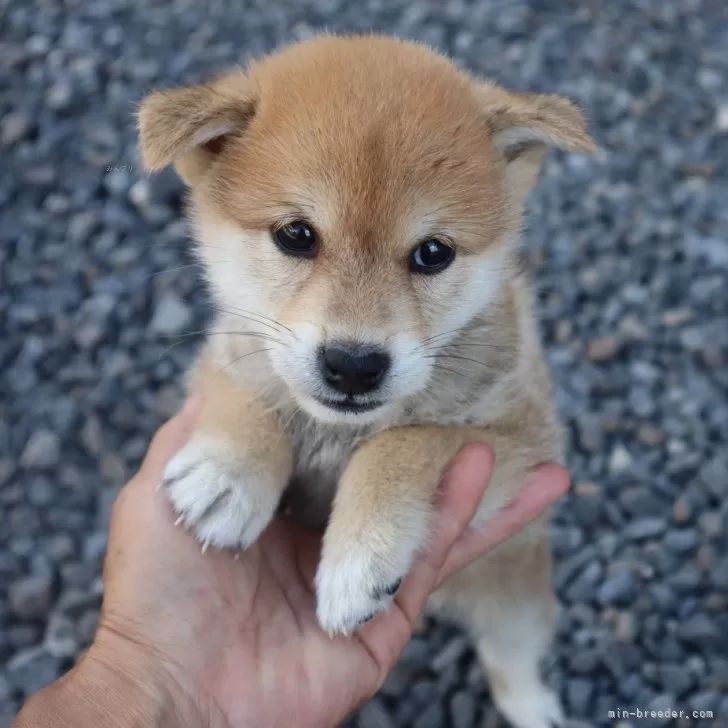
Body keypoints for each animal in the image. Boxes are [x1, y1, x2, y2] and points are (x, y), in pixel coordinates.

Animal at [139, 34, 596, 728]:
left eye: (433, 253)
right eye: (296, 234)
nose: (354, 364)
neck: (338, 430)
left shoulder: (522, 438)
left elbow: (403, 443)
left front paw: (359, 557)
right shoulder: (228, 349)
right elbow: (246, 387)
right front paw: (230, 474)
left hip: (516, 594)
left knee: (510, 657)